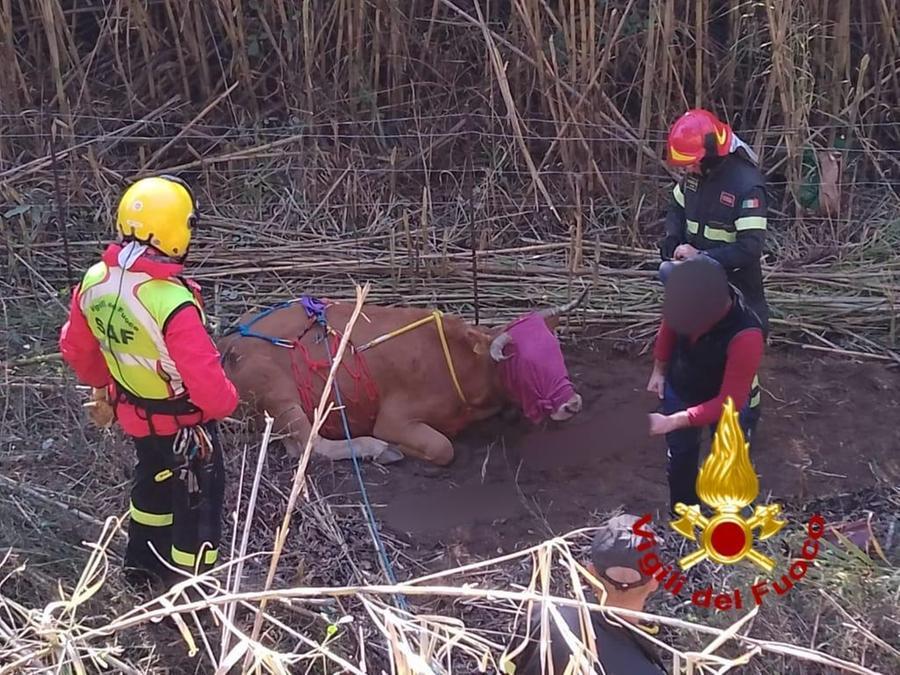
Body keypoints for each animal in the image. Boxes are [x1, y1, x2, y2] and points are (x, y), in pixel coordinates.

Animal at [217, 291, 588, 466]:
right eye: (526, 364)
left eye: (554, 351)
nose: (572, 403)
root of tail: (227, 342)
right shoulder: (394, 419)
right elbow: (442, 448)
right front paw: (397, 448)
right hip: (277, 392)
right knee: (309, 445)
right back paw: (377, 450)